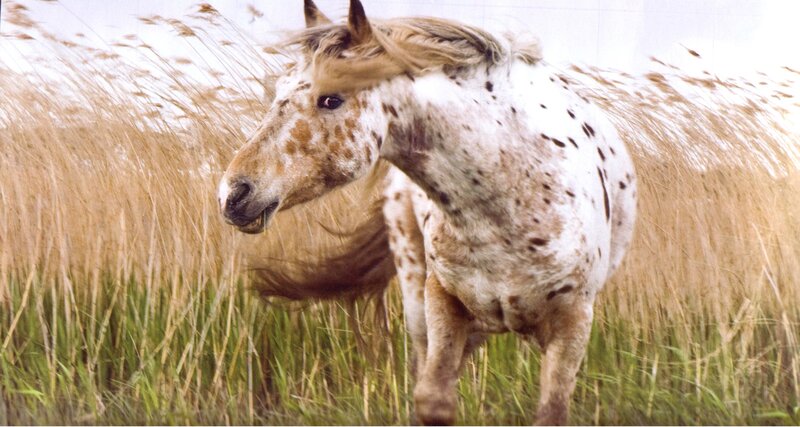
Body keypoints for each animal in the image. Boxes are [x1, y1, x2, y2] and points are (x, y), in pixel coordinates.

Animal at [218, 0, 638, 424]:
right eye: (278, 90)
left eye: (332, 99)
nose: (232, 193)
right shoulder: (442, 300)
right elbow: (432, 398)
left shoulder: (573, 322)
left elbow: (551, 409)